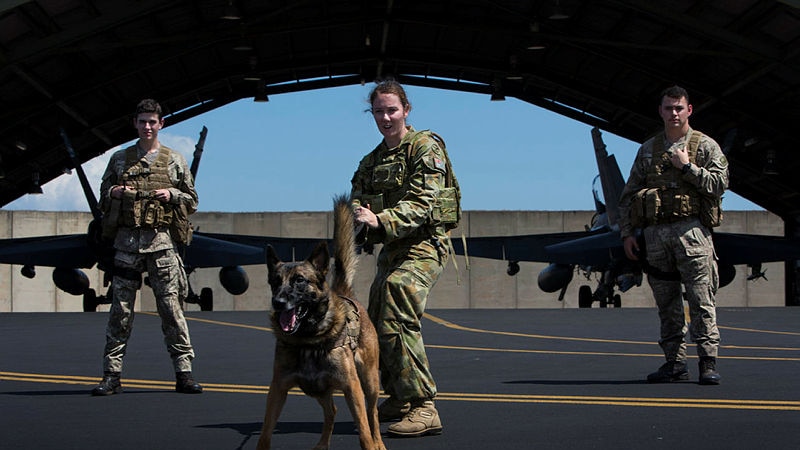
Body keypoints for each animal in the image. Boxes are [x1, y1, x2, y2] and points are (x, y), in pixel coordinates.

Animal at [255, 194, 382, 450]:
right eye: (275, 281)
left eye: (300, 281)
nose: (278, 302)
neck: (309, 338)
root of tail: (344, 291)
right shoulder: (278, 389)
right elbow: (265, 433)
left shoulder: (352, 387)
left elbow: (364, 432)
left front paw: (370, 443)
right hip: (315, 388)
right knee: (331, 410)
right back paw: (322, 445)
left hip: (369, 382)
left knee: (372, 415)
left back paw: (379, 444)